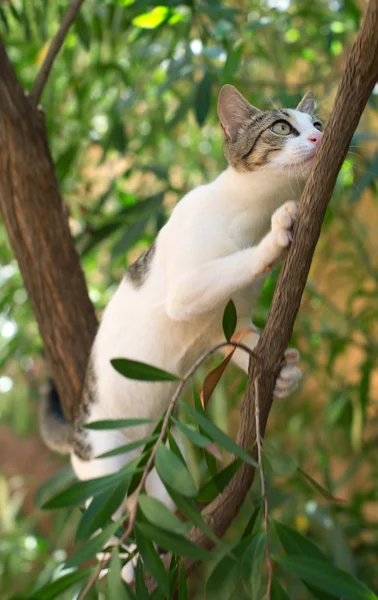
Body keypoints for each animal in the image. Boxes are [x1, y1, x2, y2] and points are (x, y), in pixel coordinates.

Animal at [40, 82, 322, 580]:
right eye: (281, 127)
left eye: (318, 123)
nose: (318, 139)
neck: (248, 213)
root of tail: (77, 430)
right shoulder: (189, 288)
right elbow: (231, 264)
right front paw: (275, 237)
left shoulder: (229, 325)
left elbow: (247, 342)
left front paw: (285, 373)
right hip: (105, 476)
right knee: (109, 533)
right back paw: (127, 568)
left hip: (158, 478)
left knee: (149, 512)